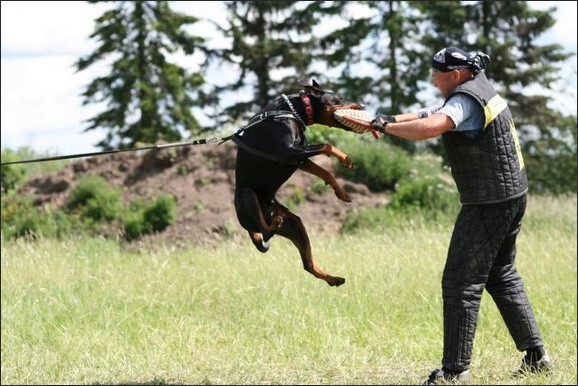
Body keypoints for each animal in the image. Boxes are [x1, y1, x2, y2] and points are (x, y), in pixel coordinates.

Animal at [228, 79, 360, 286]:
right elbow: (326, 145)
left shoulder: (299, 158)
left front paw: (341, 191)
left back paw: (334, 279)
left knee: (308, 265)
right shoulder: (289, 152)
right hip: (247, 196)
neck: (293, 109)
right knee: (266, 231)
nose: (361, 105)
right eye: (339, 98)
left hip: (296, 226)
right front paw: (343, 157)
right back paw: (274, 222)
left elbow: (324, 171)